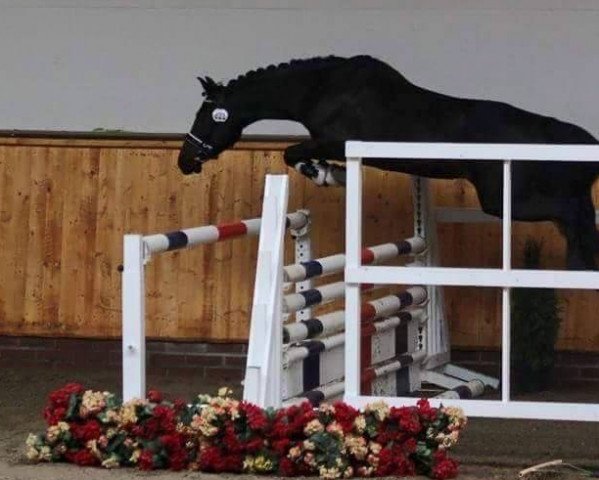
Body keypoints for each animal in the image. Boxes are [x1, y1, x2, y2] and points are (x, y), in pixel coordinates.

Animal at [178, 55, 599, 270]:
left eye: (206, 115)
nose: (185, 161)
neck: (321, 88)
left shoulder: (337, 140)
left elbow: (292, 152)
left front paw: (326, 173)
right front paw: (330, 172)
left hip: (503, 198)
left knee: (571, 214)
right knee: (578, 216)